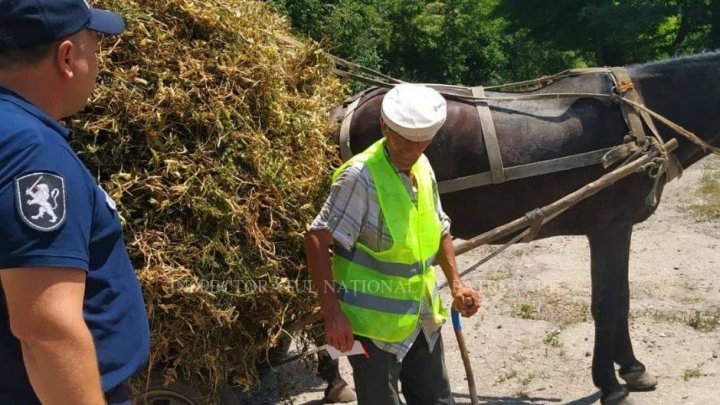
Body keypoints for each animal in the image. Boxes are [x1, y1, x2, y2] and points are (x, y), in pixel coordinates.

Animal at [320, 51, 720, 404]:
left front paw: (634, 369)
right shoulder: (609, 228)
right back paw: (335, 381)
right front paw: (610, 383)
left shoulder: (621, 229)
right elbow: (607, 303)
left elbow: (622, 298)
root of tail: (347, 108)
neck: (637, 117)